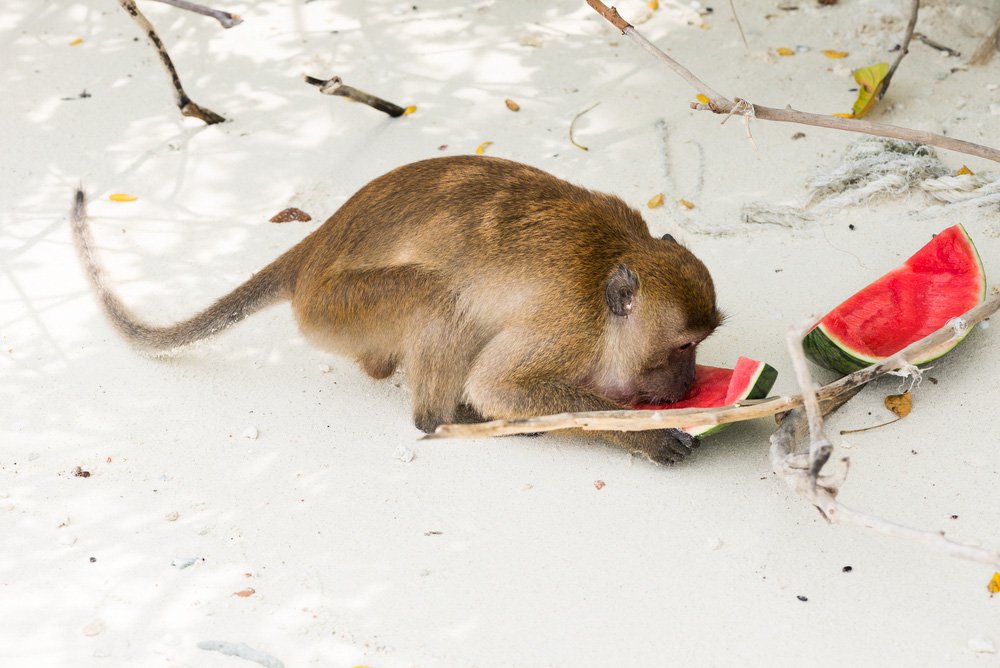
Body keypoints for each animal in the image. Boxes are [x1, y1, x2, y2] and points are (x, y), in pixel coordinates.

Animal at [74, 156, 724, 464]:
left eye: (700, 347)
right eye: (682, 348)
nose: (691, 382)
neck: (617, 257)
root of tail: (311, 252)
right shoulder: (568, 322)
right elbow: (501, 386)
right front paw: (651, 435)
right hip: (338, 307)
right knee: (440, 298)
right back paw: (445, 418)